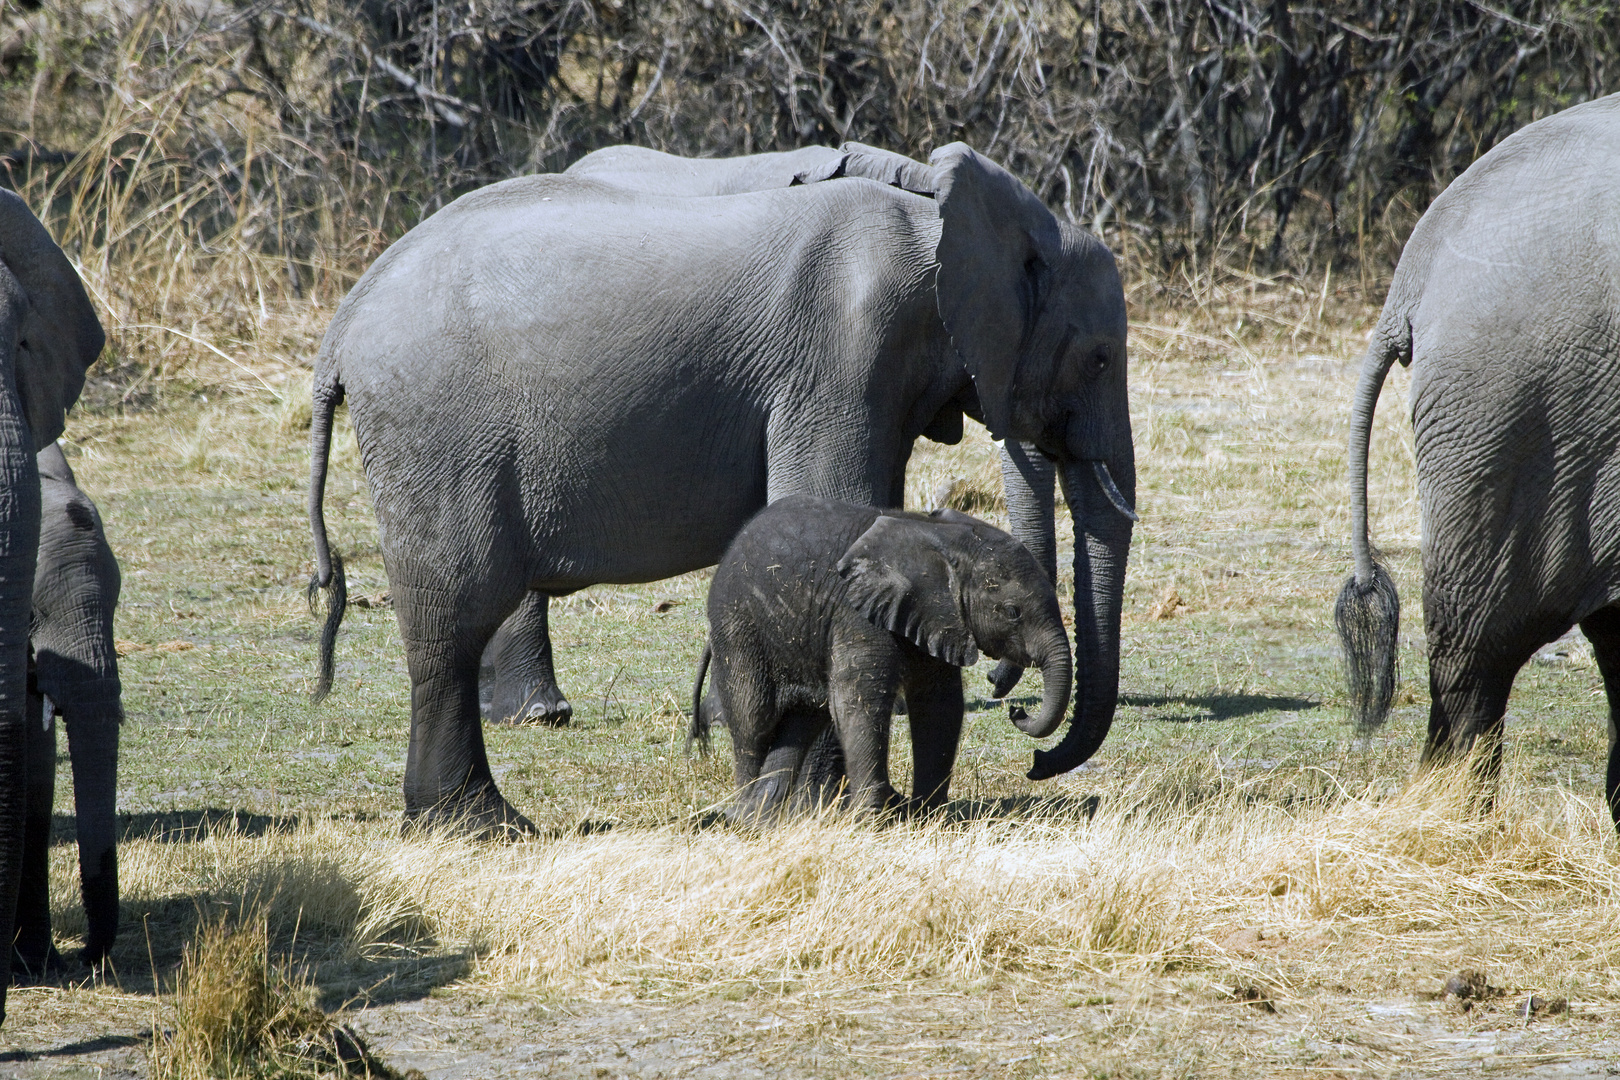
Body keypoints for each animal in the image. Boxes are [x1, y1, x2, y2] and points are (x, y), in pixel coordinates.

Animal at [690, 495, 1069, 822]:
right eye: (1012, 612)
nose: (1016, 710)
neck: (940, 538)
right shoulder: (856, 613)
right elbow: (859, 701)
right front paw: (871, 821)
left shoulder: (936, 617)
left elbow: (940, 705)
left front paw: (928, 818)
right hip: (738, 624)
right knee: (754, 718)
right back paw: (745, 815)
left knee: (802, 721)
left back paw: (763, 818)